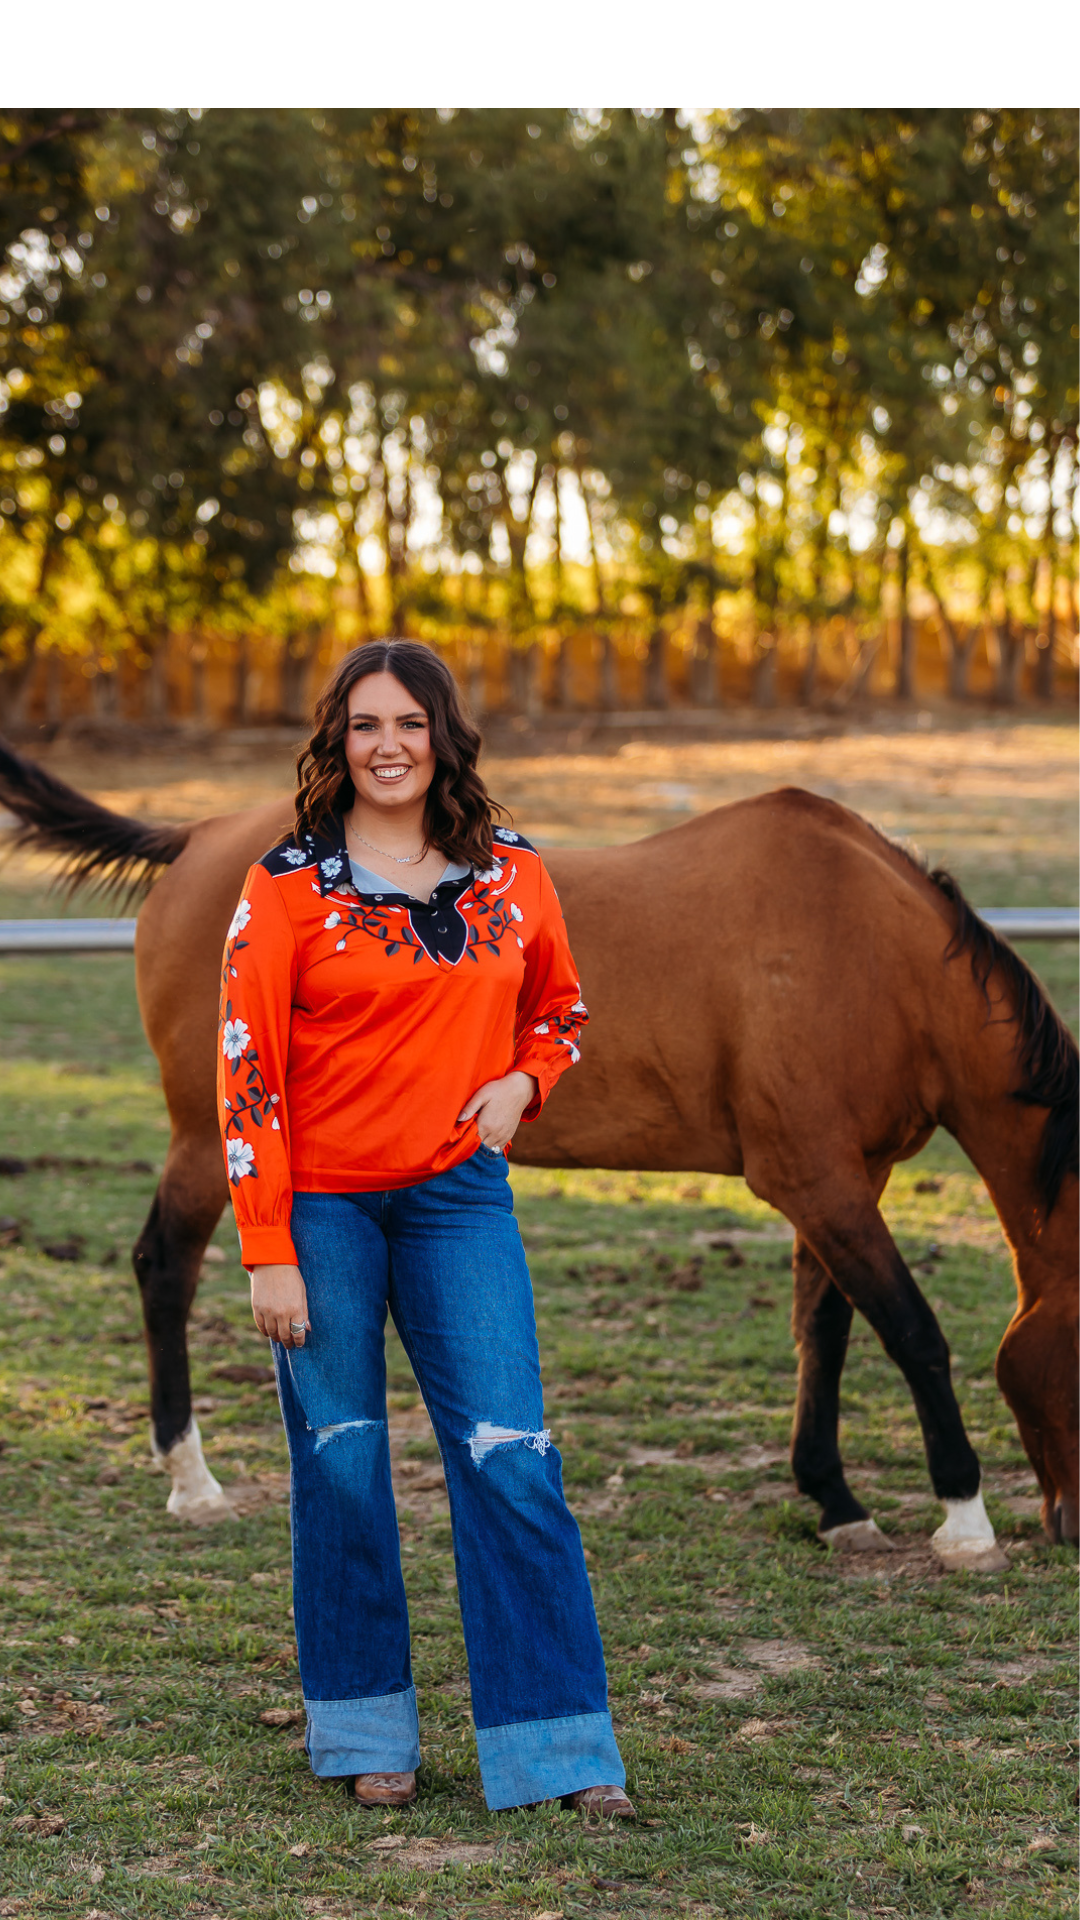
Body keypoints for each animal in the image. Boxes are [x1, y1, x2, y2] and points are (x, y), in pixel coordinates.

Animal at [2, 737, 1076, 1559]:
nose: (1070, 1527)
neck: (867, 950)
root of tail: (197, 840)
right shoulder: (817, 1181)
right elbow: (914, 1333)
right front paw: (965, 1520)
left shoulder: (845, 1180)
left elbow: (828, 1332)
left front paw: (837, 1502)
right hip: (214, 1141)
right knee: (163, 1267)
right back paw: (191, 1480)